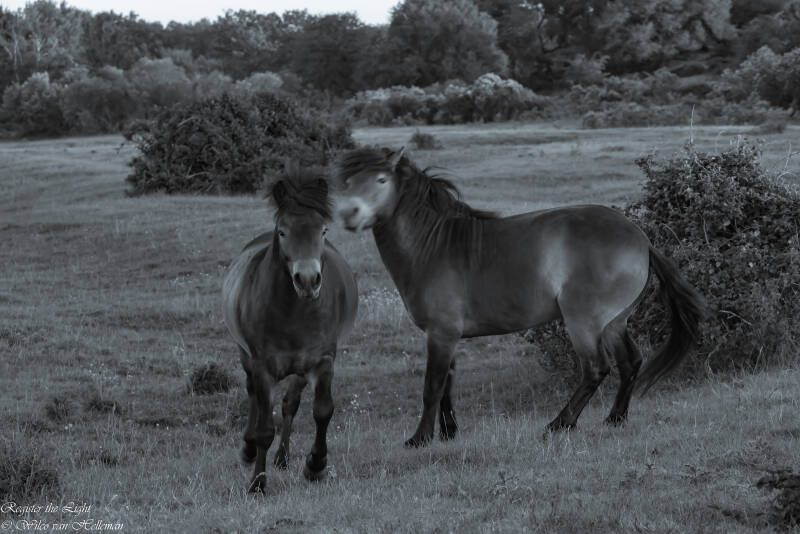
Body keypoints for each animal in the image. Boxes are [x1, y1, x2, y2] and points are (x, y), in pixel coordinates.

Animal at [222, 168, 358, 492]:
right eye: (283, 232)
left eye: (323, 231)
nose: (307, 280)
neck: (294, 312)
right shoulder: (261, 366)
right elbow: (264, 427)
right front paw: (257, 483)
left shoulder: (322, 360)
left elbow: (322, 410)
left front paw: (315, 465)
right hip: (246, 357)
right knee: (253, 397)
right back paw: (248, 450)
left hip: (299, 369)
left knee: (289, 405)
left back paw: (283, 458)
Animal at [334, 146, 707, 448]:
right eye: (347, 182)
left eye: (381, 179)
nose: (349, 214)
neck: (434, 246)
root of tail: (641, 239)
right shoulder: (447, 336)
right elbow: (447, 387)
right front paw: (449, 433)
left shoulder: (441, 333)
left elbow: (432, 387)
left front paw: (420, 438)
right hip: (615, 322)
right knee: (630, 362)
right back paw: (615, 418)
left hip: (583, 322)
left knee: (595, 369)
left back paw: (560, 423)